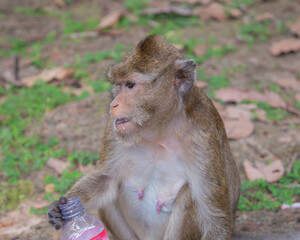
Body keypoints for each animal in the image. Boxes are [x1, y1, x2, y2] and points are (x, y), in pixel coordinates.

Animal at [48, 34, 241, 240]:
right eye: (118, 85)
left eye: (130, 85)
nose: (113, 104)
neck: (159, 129)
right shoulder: (114, 131)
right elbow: (106, 178)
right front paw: (60, 209)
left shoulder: (203, 138)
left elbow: (216, 220)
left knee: (189, 195)